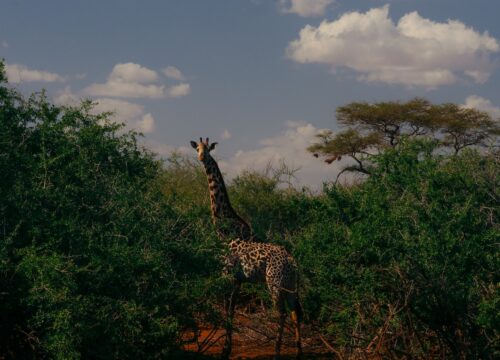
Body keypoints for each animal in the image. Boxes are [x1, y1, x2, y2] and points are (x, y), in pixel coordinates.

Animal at [190, 137, 300, 358]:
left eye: (208, 149)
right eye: (197, 148)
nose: (202, 157)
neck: (224, 227)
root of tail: (292, 262)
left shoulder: (227, 273)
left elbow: (227, 309)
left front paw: (225, 350)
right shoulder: (238, 279)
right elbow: (231, 309)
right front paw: (227, 348)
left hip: (274, 283)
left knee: (281, 313)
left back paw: (277, 352)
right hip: (291, 285)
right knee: (295, 313)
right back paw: (299, 351)